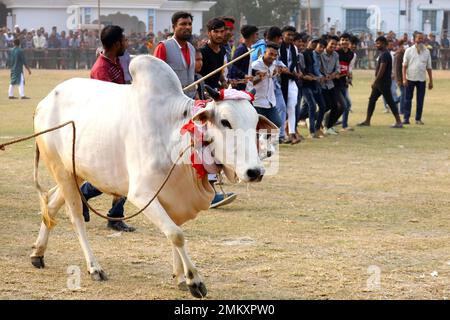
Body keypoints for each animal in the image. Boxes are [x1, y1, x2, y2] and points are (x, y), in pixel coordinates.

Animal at [30, 54, 274, 298]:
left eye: (255, 123)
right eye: (225, 122)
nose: (255, 172)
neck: (174, 134)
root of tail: (44, 103)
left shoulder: (172, 196)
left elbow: (175, 231)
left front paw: (180, 277)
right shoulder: (142, 194)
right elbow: (176, 234)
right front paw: (194, 280)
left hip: (75, 172)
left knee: (50, 204)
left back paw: (38, 253)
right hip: (61, 169)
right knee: (76, 217)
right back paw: (94, 267)